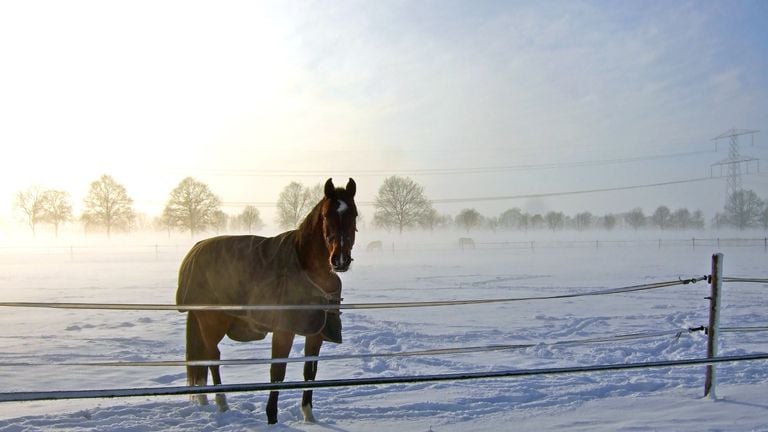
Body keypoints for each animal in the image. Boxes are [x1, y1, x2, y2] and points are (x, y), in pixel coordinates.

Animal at [178, 177, 360, 424]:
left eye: (354, 215)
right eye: (325, 216)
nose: (340, 260)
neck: (308, 269)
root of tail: (196, 248)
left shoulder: (316, 332)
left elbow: (310, 372)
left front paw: (309, 416)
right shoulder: (284, 330)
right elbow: (277, 372)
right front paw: (272, 417)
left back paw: (205, 398)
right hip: (211, 321)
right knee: (213, 357)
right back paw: (222, 403)